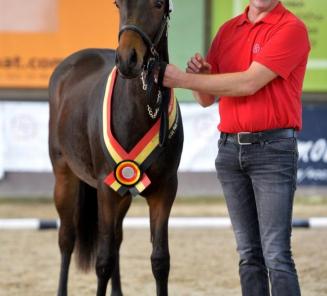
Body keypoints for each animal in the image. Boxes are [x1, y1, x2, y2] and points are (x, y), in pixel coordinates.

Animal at [48, 0, 183, 296]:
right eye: (118, 4)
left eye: (158, 5)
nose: (127, 59)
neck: (141, 109)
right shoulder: (106, 189)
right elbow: (103, 261)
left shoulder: (165, 189)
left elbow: (160, 260)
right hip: (65, 176)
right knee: (67, 239)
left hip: (123, 194)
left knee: (117, 239)